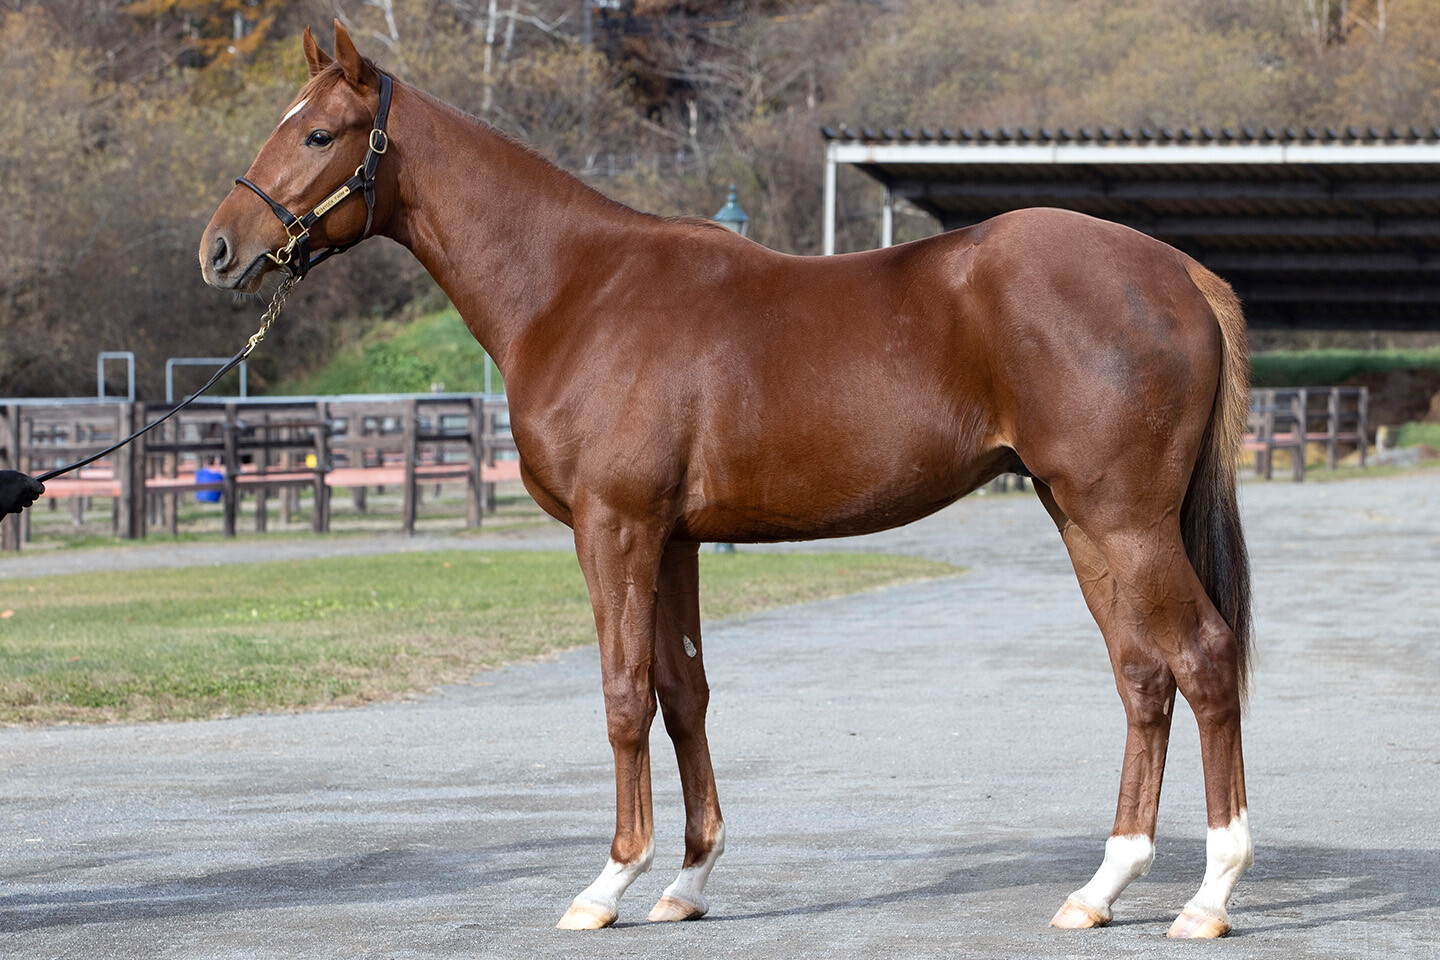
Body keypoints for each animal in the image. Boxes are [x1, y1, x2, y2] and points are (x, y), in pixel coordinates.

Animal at [200, 20, 1249, 938]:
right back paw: (1101, 889)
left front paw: (609, 882)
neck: (577, 289)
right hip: (1079, 515)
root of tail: (1180, 274)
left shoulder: (614, 527)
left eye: (318, 132)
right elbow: (683, 692)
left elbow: (625, 696)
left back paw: (1210, 896)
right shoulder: (673, 538)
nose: (218, 248)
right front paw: (688, 879)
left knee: (1204, 656)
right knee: (1142, 673)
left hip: (1125, 519)